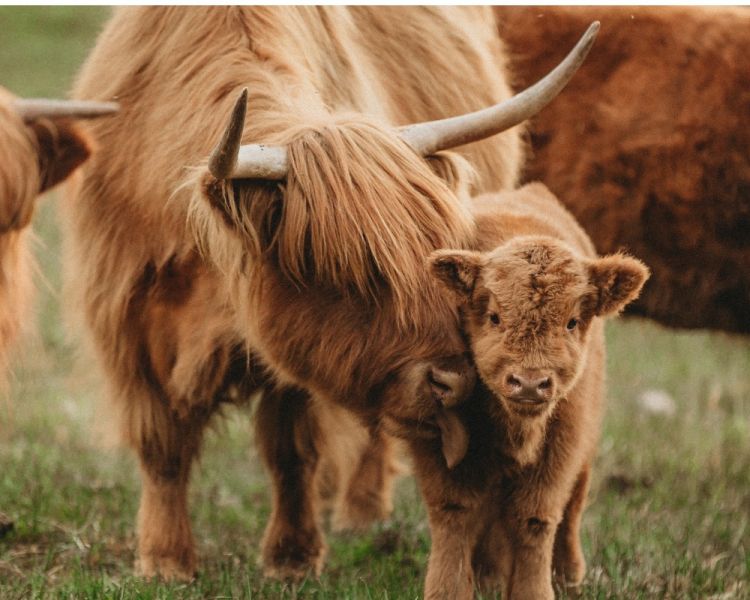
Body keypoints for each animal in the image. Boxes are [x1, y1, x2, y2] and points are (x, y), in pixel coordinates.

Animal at [64, 6, 596, 586]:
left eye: (435, 255)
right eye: (346, 273)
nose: (455, 382)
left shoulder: (295, 355)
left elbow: (290, 448)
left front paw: (292, 555)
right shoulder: (126, 322)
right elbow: (163, 447)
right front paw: (164, 558)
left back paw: (361, 511)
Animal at [424, 183, 649, 599]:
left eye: (572, 322)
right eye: (494, 316)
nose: (529, 382)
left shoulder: (563, 446)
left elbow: (535, 520)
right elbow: (455, 514)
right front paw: (448, 590)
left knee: (572, 506)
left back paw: (567, 573)